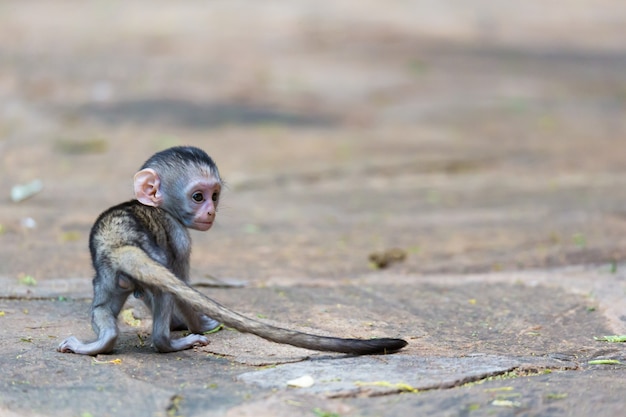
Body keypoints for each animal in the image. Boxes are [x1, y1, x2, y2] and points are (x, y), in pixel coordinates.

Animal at [58, 145, 408, 354]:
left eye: (214, 195)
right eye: (198, 196)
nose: (210, 211)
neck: (159, 207)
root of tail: (120, 244)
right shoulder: (179, 236)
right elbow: (181, 286)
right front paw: (196, 324)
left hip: (107, 276)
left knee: (103, 308)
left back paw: (99, 343)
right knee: (167, 290)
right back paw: (168, 343)